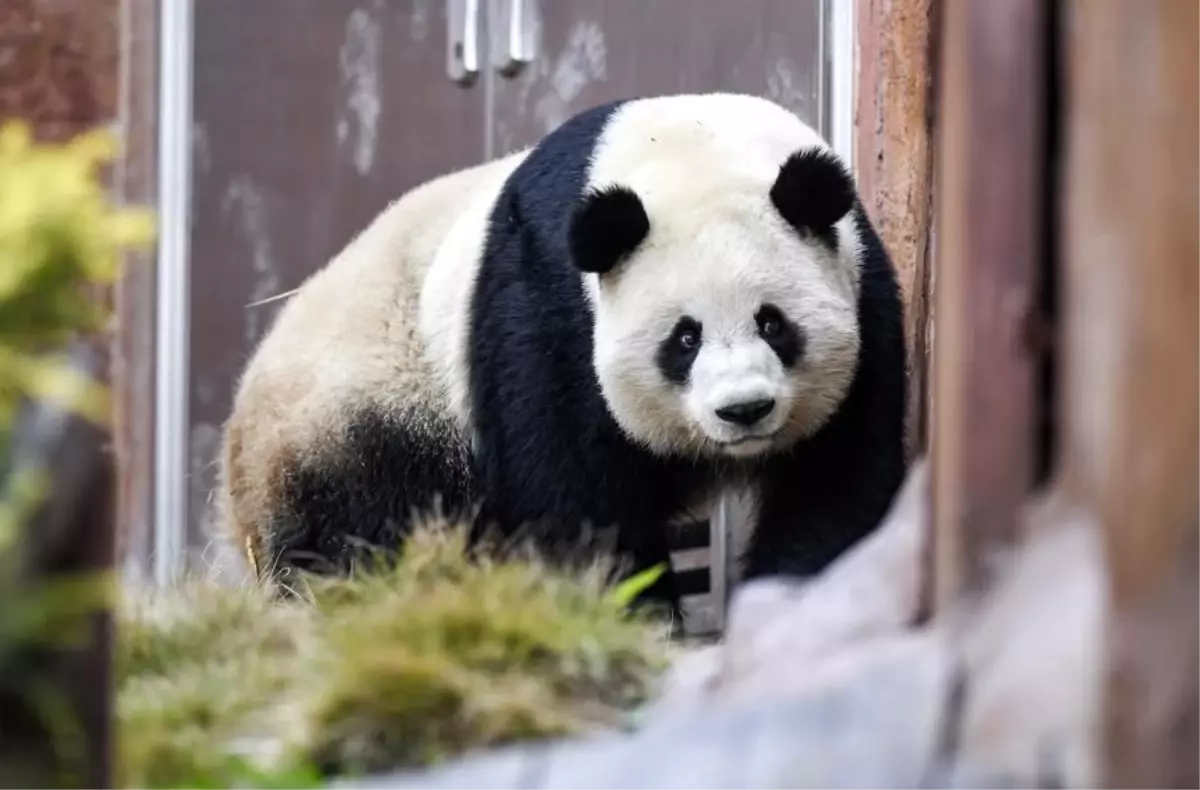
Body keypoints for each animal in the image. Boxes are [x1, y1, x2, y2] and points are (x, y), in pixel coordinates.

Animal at [218, 92, 908, 619]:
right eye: (684, 338)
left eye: (773, 323)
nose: (744, 410)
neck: (688, 145)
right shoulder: (549, 306)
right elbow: (574, 497)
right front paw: (630, 615)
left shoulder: (864, 294)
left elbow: (835, 474)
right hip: (364, 409)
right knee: (361, 532)